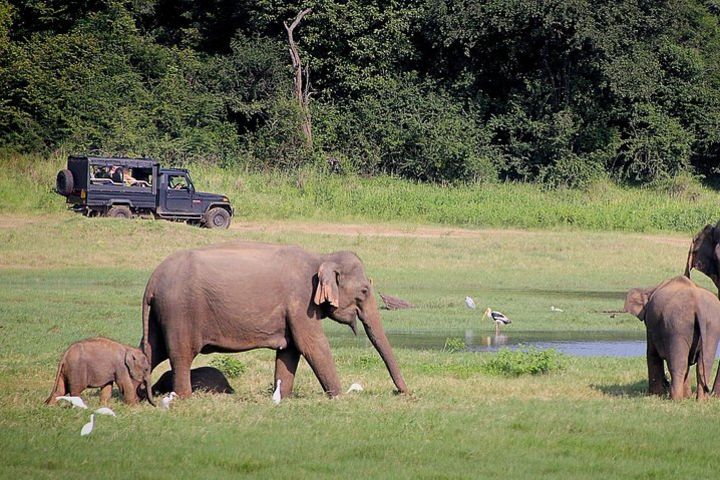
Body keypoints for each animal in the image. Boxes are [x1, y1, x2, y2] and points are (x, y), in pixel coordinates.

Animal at [141, 242, 410, 400]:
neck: (321, 257)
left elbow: (290, 351)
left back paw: (140, 396)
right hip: (180, 312)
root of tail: (152, 281)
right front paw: (339, 397)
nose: (403, 392)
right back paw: (183, 398)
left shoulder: (293, 311)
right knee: (180, 354)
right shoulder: (301, 302)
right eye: (364, 291)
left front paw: (283, 397)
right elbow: (312, 345)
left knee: (151, 351)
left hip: (161, 314)